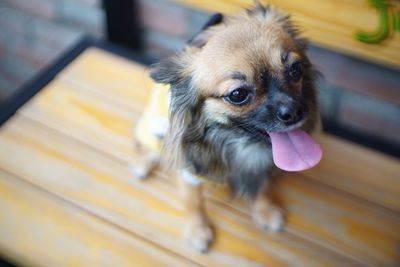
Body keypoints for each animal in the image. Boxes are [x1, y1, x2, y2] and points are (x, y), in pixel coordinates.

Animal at [131, 3, 322, 253]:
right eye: (238, 94)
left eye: (295, 69)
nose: (294, 111)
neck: (239, 144)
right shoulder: (189, 172)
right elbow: (193, 202)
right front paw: (197, 230)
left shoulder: (258, 168)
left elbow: (261, 188)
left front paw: (264, 211)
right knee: (149, 149)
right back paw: (142, 164)